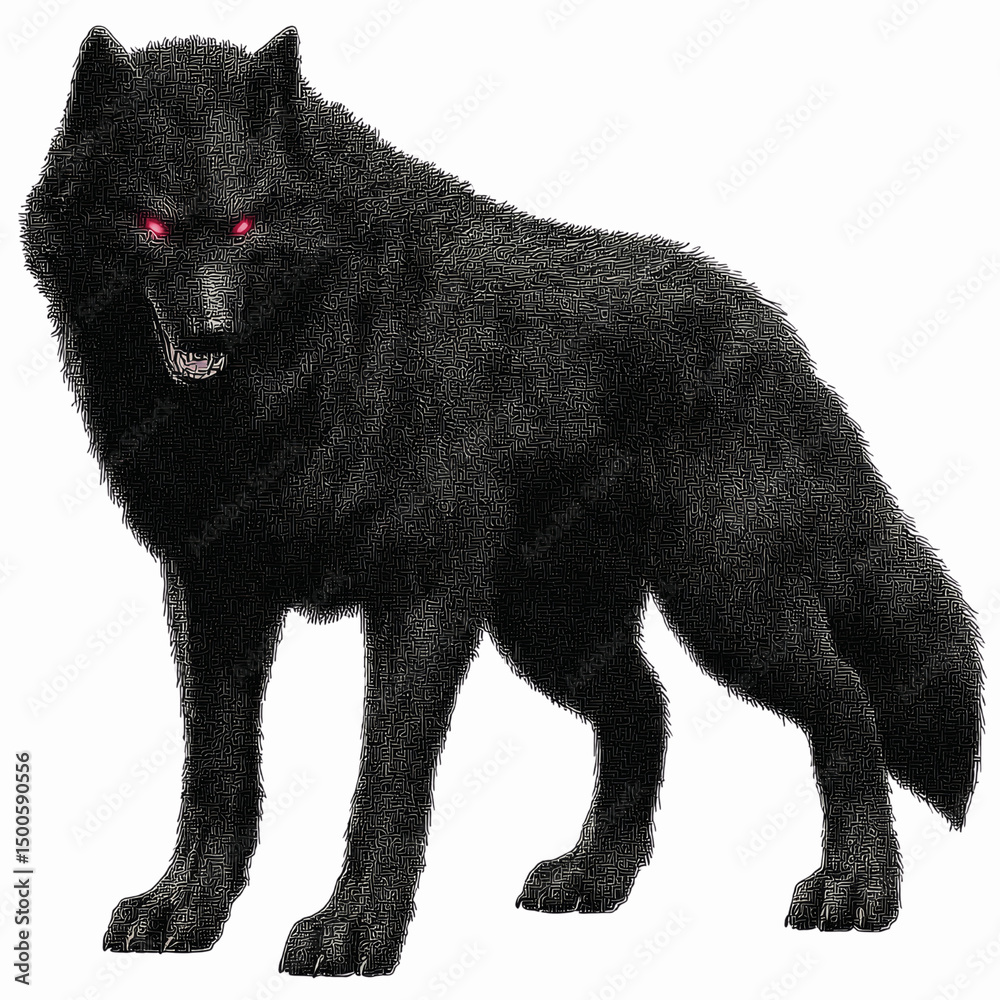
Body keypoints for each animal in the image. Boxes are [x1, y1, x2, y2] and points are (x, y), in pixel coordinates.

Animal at [23, 25, 982, 977]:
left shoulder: (420, 598)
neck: (304, 366)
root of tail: (783, 340)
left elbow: (387, 778)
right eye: (153, 225)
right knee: (648, 710)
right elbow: (215, 770)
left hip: (725, 607)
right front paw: (184, 910)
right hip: (554, 628)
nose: (210, 334)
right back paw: (596, 878)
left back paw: (858, 889)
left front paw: (354, 930)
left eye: (247, 224)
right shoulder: (214, 590)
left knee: (846, 699)